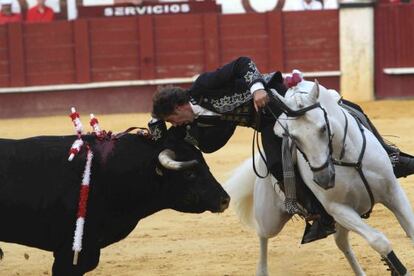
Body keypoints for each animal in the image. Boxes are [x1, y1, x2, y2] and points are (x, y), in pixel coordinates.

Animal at [225, 80, 414, 276]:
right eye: (293, 137)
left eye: (323, 127)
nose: (323, 178)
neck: (348, 159)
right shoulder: (338, 208)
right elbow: (379, 241)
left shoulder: (393, 192)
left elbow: (411, 231)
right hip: (271, 217)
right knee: (263, 234)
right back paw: (262, 270)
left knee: (341, 242)